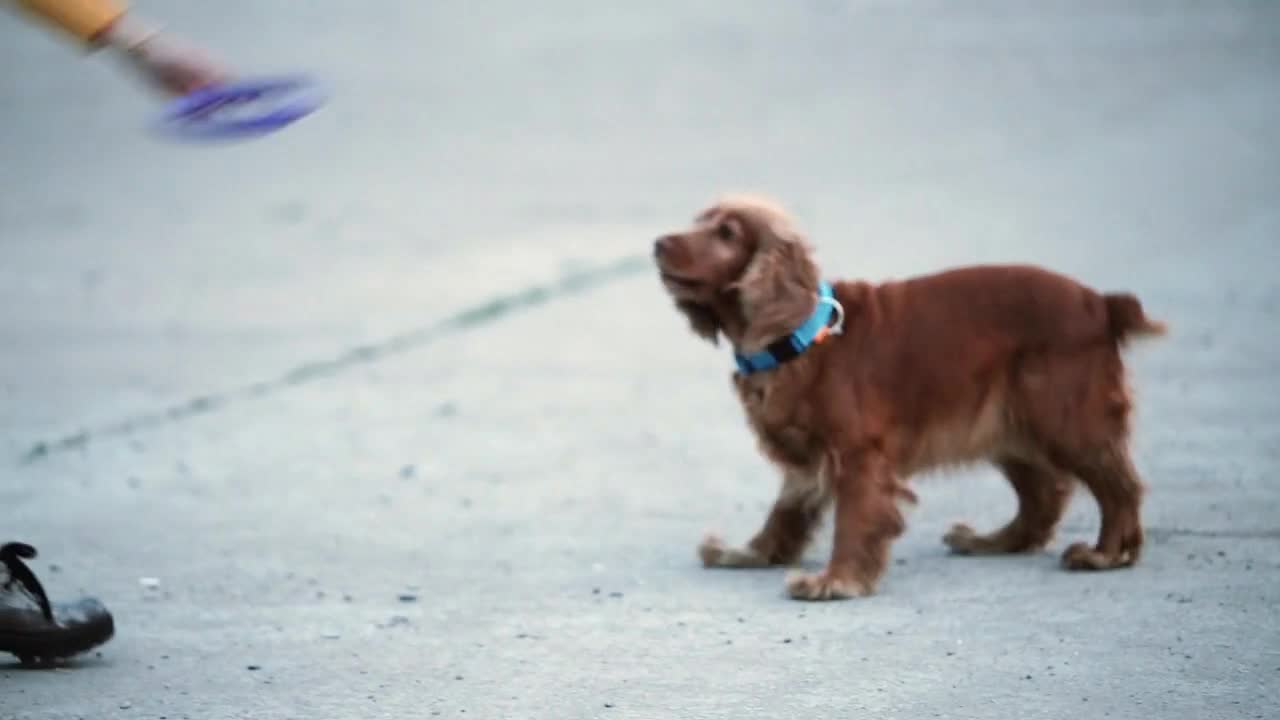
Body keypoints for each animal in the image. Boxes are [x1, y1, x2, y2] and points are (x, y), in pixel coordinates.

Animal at [655, 194, 1167, 599]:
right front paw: (748, 553)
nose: (658, 242)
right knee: (1044, 493)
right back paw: (991, 541)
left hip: (1065, 419)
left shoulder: (859, 454)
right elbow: (785, 513)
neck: (798, 335)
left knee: (1118, 487)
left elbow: (852, 518)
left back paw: (1106, 554)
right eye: (699, 221)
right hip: (1004, 424)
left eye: (726, 232)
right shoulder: (807, 460)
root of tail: (1102, 304)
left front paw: (836, 581)